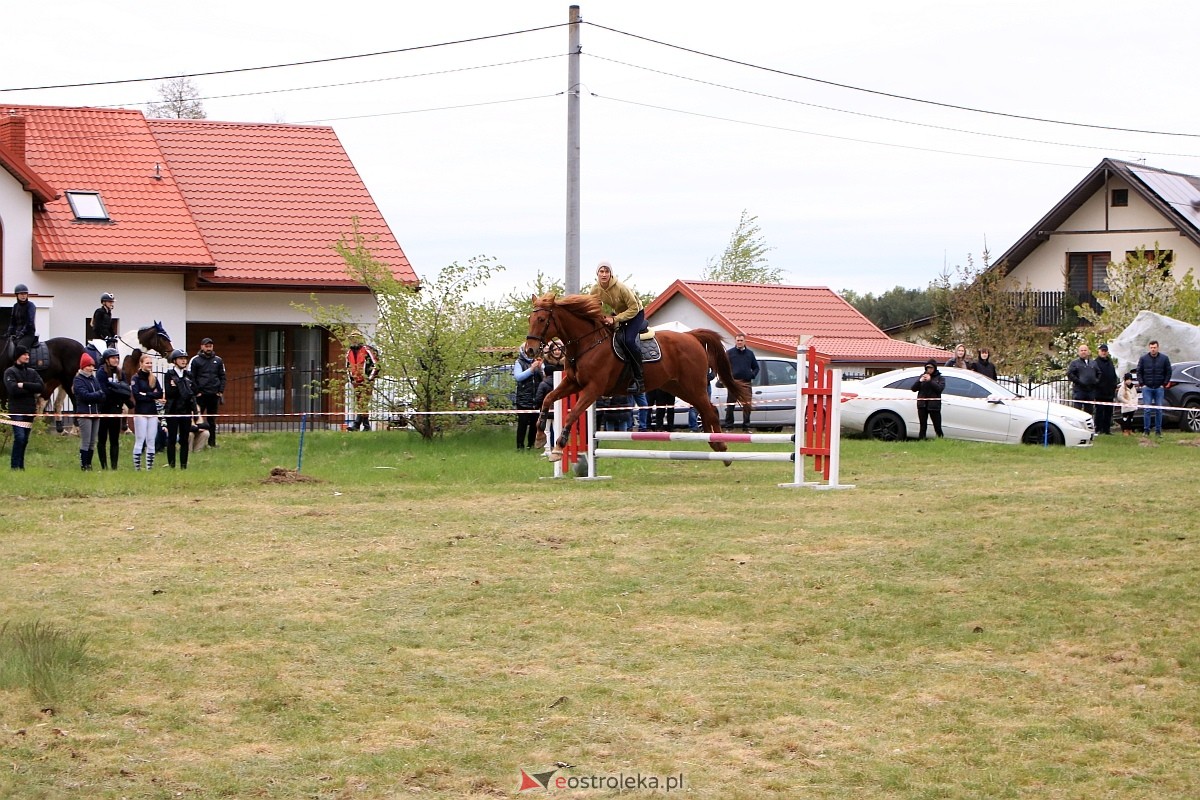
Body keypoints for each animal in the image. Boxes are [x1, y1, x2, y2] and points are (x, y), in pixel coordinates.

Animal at [525, 292, 748, 462]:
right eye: (529, 319)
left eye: (542, 320)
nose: (529, 350)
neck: (588, 343)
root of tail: (691, 336)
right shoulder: (573, 383)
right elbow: (547, 399)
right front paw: (539, 437)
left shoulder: (593, 389)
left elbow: (572, 414)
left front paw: (557, 448)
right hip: (679, 388)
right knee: (706, 410)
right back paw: (715, 444)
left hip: (693, 386)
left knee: (710, 411)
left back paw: (722, 448)